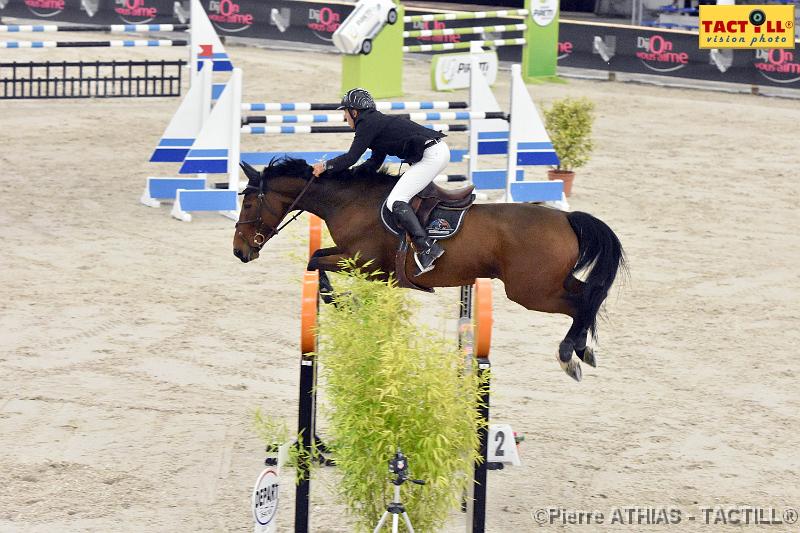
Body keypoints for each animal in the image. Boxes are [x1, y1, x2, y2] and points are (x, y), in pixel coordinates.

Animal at [234, 158, 628, 382]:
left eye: (250, 203)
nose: (240, 251)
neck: (351, 201)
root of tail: (566, 218)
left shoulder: (365, 264)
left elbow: (315, 262)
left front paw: (346, 305)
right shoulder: (354, 259)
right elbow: (315, 258)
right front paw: (345, 304)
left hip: (531, 291)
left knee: (581, 304)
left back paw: (568, 354)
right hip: (548, 283)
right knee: (589, 296)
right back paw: (583, 350)